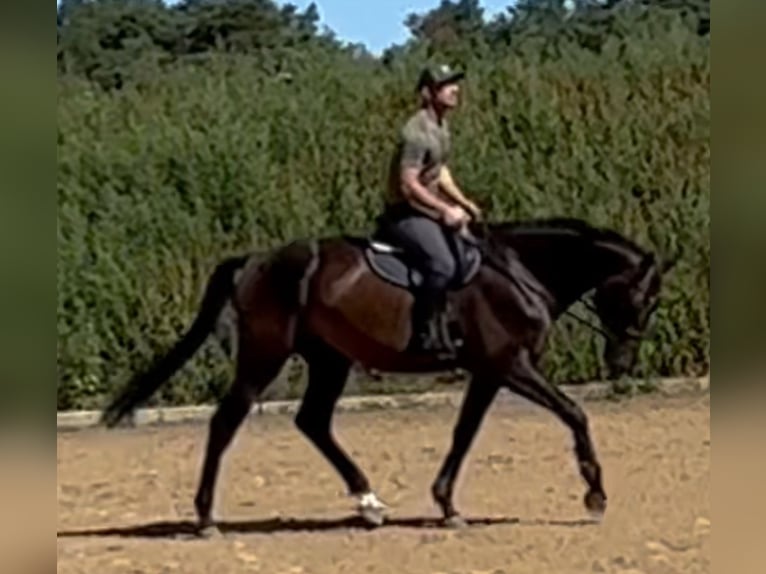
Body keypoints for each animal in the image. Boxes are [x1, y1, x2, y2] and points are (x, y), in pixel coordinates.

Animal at [100, 215, 668, 537]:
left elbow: (464, 434)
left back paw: (369, 503)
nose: (621, 364)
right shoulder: (512, 365)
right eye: (643, 299)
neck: (520, 271)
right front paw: (595, 495)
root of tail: (257, 259)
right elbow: (574, 413)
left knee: (313, 422)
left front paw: (447, 505)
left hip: (329, 359)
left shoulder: (489, 371)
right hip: (265, 355)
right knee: (226, 423)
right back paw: (205, 519)